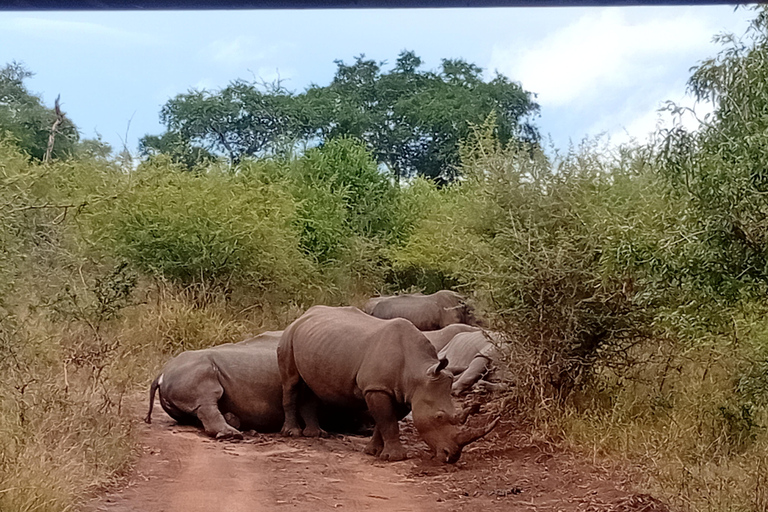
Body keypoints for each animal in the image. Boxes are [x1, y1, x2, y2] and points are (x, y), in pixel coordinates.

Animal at [277, 305, 497, 463]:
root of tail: (305, 314)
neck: (418, 371)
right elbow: (387, 421)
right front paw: (395, 458)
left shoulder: (404, 392)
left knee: (311, 386)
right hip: (289, 335)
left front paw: (373, 451)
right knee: (291, 382)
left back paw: (316, 434)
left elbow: (385, 420)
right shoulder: (377, 388)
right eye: (439, 416)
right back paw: (292, 433)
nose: (451, 456)